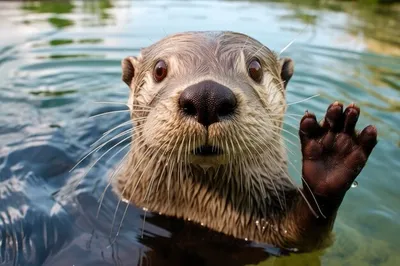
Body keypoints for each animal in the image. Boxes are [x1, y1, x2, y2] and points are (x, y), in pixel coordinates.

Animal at [113, 31, 378, 254]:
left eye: (255, 68)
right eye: (159, 69)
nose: (207, 95)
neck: (203, 212)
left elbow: (306, 237)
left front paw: (333, 155)